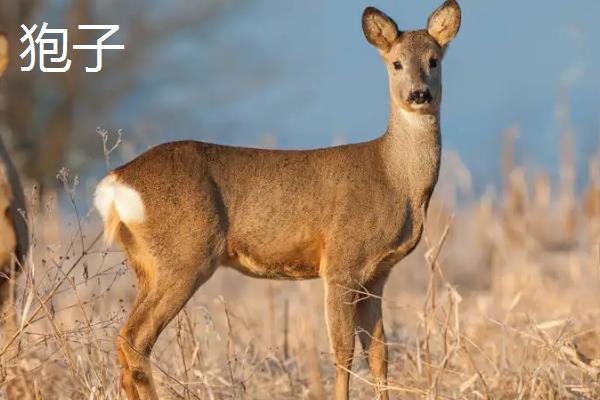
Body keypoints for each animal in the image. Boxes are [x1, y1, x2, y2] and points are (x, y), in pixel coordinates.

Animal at [97, 1, 464, 398]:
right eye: (396, 63)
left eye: (433, 60)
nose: (419, 95)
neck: (394, 177)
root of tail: (117, 181)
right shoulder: (342, 261)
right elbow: (343, 351)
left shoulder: (378, 273)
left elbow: (380, 353)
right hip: (184, 256)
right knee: (134, 338)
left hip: (146, 262)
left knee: (126, 342)